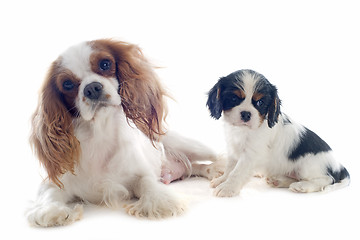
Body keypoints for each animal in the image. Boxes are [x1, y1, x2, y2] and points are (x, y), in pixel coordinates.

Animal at [207, 69, 350, 197]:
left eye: (260, 102)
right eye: (233, 98)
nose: (246, 114)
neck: (244, 130)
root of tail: (339, 166)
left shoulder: (251, 155)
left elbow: (237, 172)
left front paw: (227, 188)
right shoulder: (233, 149)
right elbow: (230, 168)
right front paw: (222, 180)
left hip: (308, 166)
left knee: (326, 179)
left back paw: (302, 186)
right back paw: (278, 180)